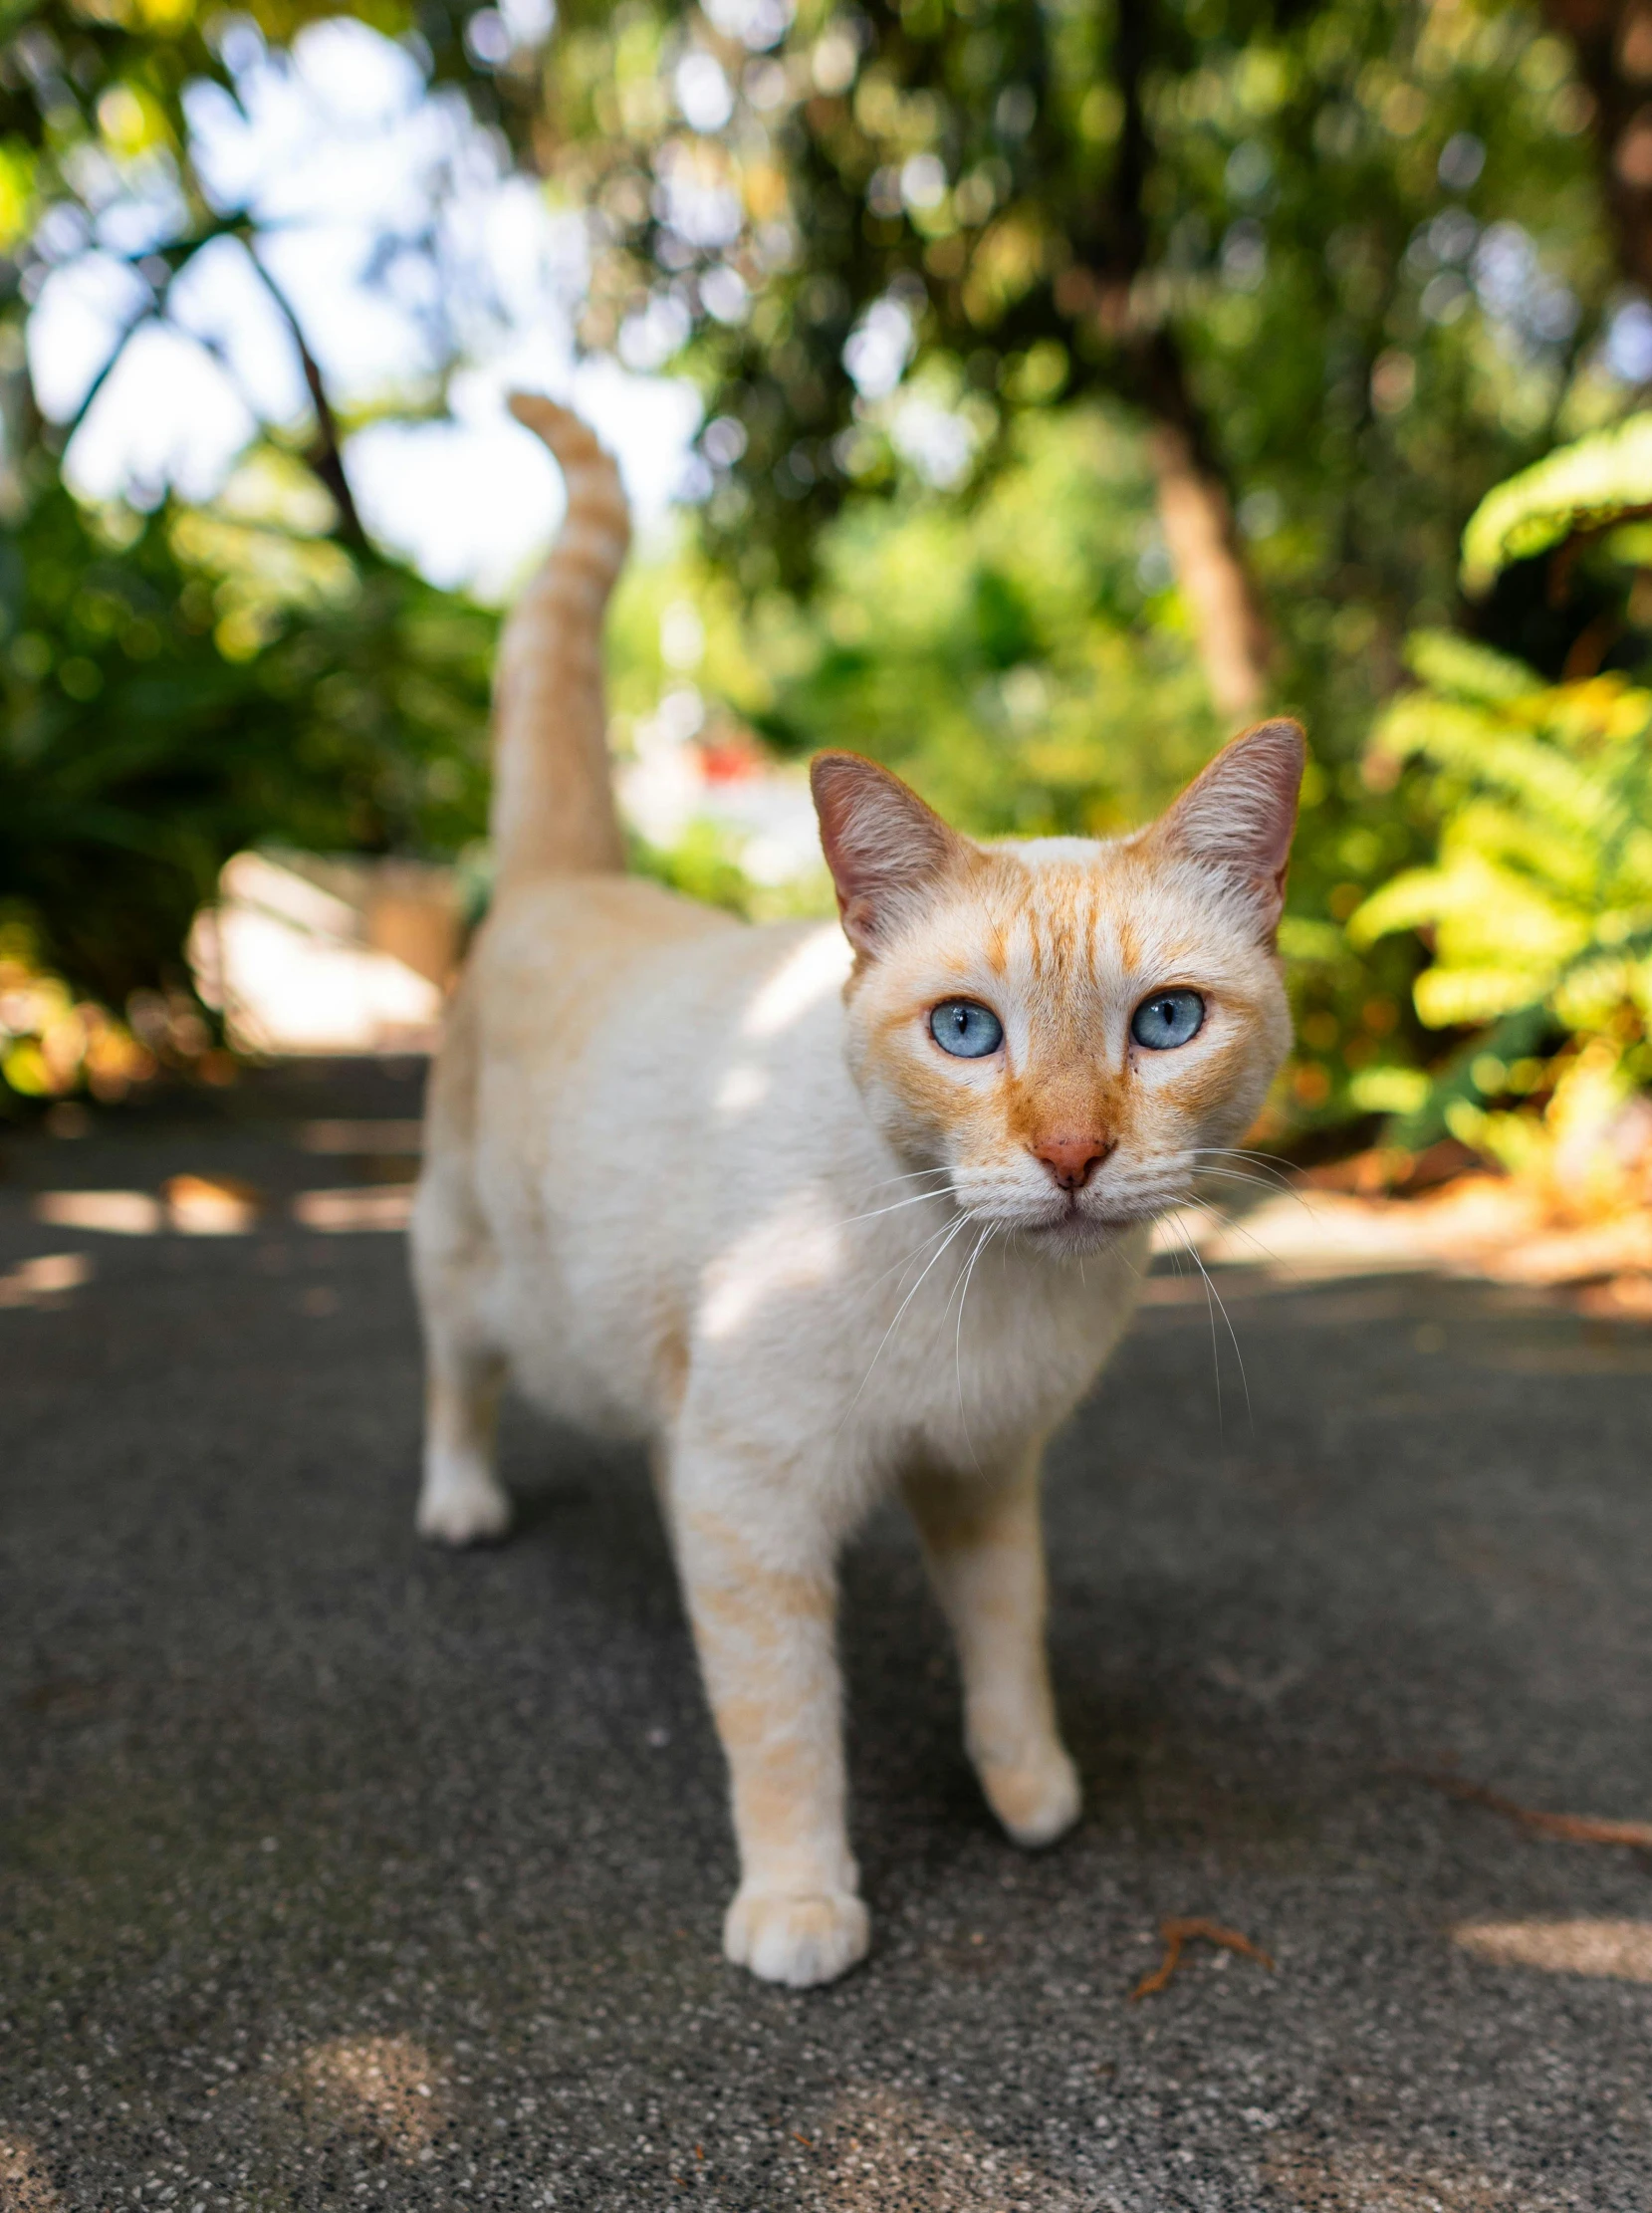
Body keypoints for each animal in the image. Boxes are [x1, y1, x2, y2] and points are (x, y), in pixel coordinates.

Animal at [413, 393, 1308, 1991]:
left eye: (1164, 1023)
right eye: (964, 1030)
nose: (1069, 1152)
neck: (984, 1285)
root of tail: (564, 878)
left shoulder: (984, 1468)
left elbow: (1008, 1635)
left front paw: (1028, 1790)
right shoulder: (754, 1506)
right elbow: (780, 1723)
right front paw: (798, 1902)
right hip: (466, 1262)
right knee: (458, 1373)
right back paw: (459, 1502)